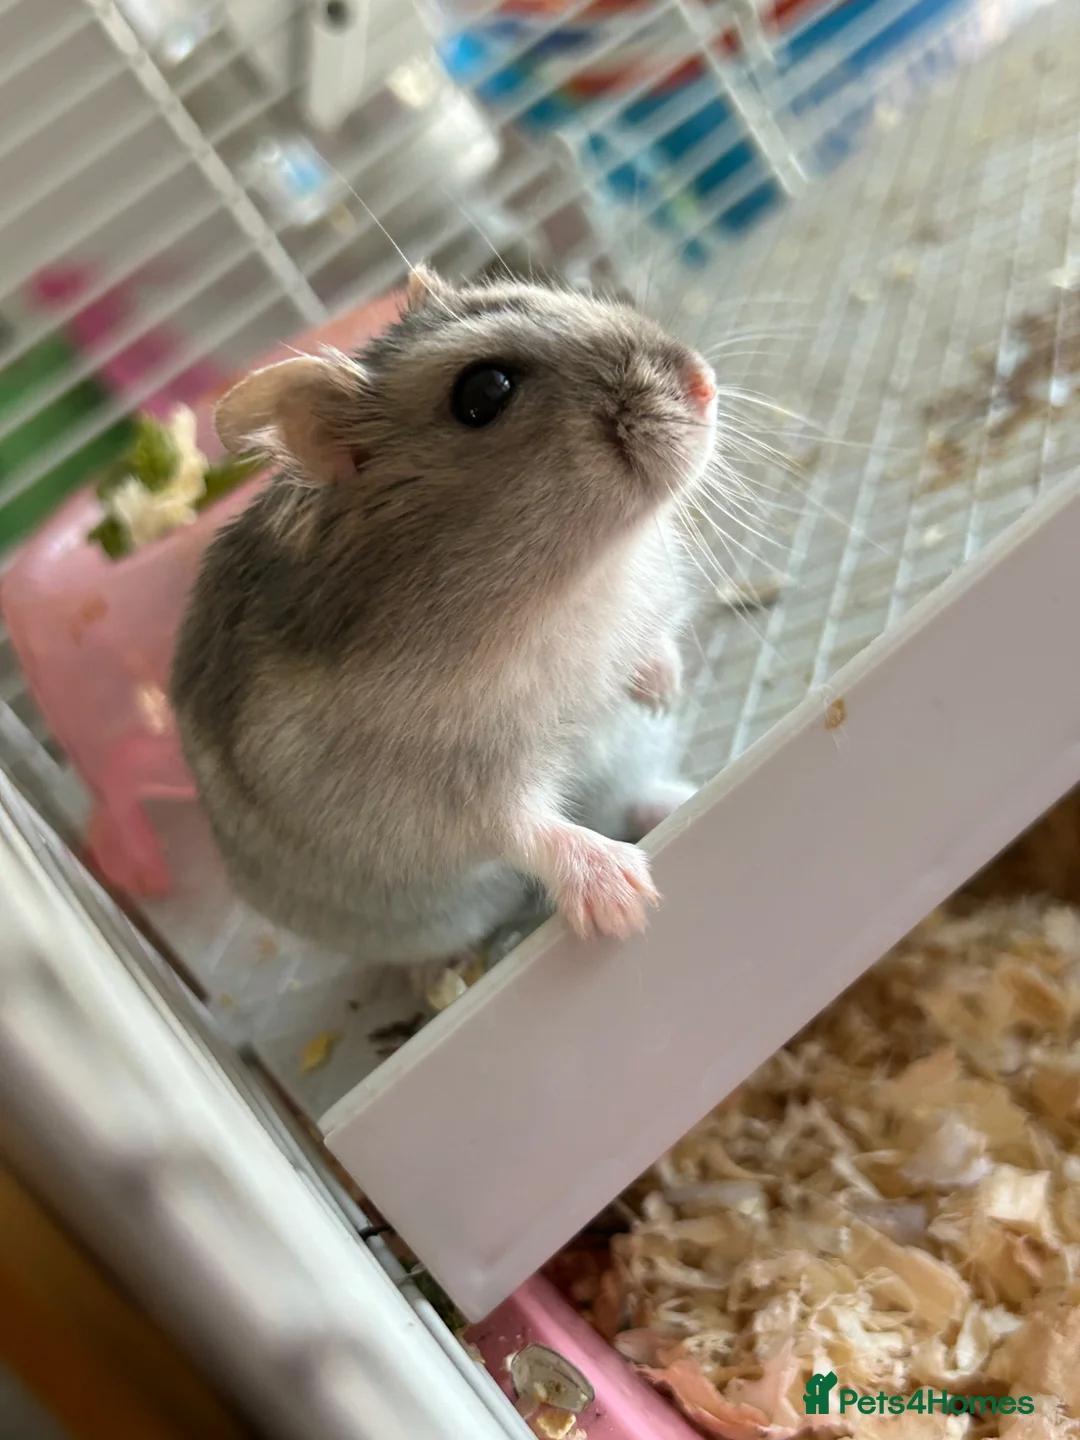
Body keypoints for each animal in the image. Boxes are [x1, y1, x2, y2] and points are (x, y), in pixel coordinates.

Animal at [170, 266, 717, 965]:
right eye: (484, 392)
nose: (704, 383)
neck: (563, 585)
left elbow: (648, 649)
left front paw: (661, 691)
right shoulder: (440, 792)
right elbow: (520, 826)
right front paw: (626, 903)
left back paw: (678, 796)